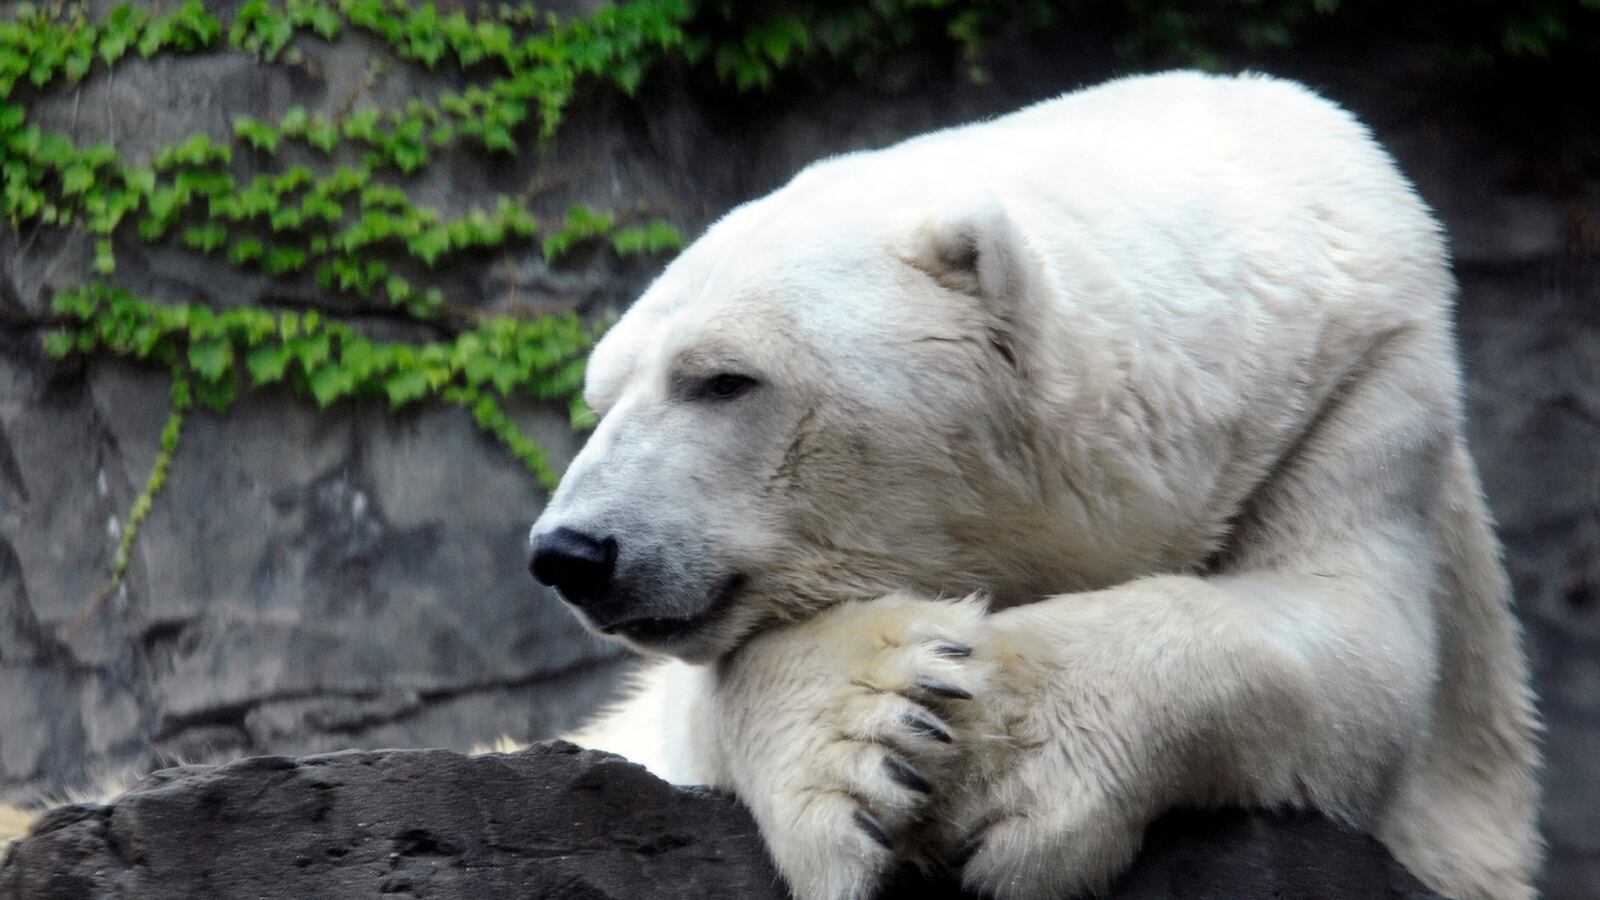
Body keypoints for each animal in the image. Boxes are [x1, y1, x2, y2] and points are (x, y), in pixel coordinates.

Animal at [528, 71, 1540, 900]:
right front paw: (882, 730)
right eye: (602, 396)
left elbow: (1355, 652)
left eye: (722, 379)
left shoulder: (1357, 391)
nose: (570, 553)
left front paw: (1006, 757)